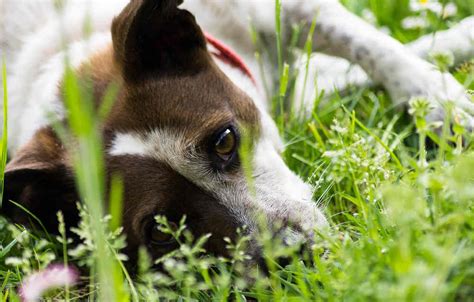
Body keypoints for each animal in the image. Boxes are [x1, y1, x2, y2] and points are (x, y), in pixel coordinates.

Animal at [0, 0, 472, 264]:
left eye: (224, 140)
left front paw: (442, 100)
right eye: (161, 232)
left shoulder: (289, 9)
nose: (292, 255)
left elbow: (375, 48)